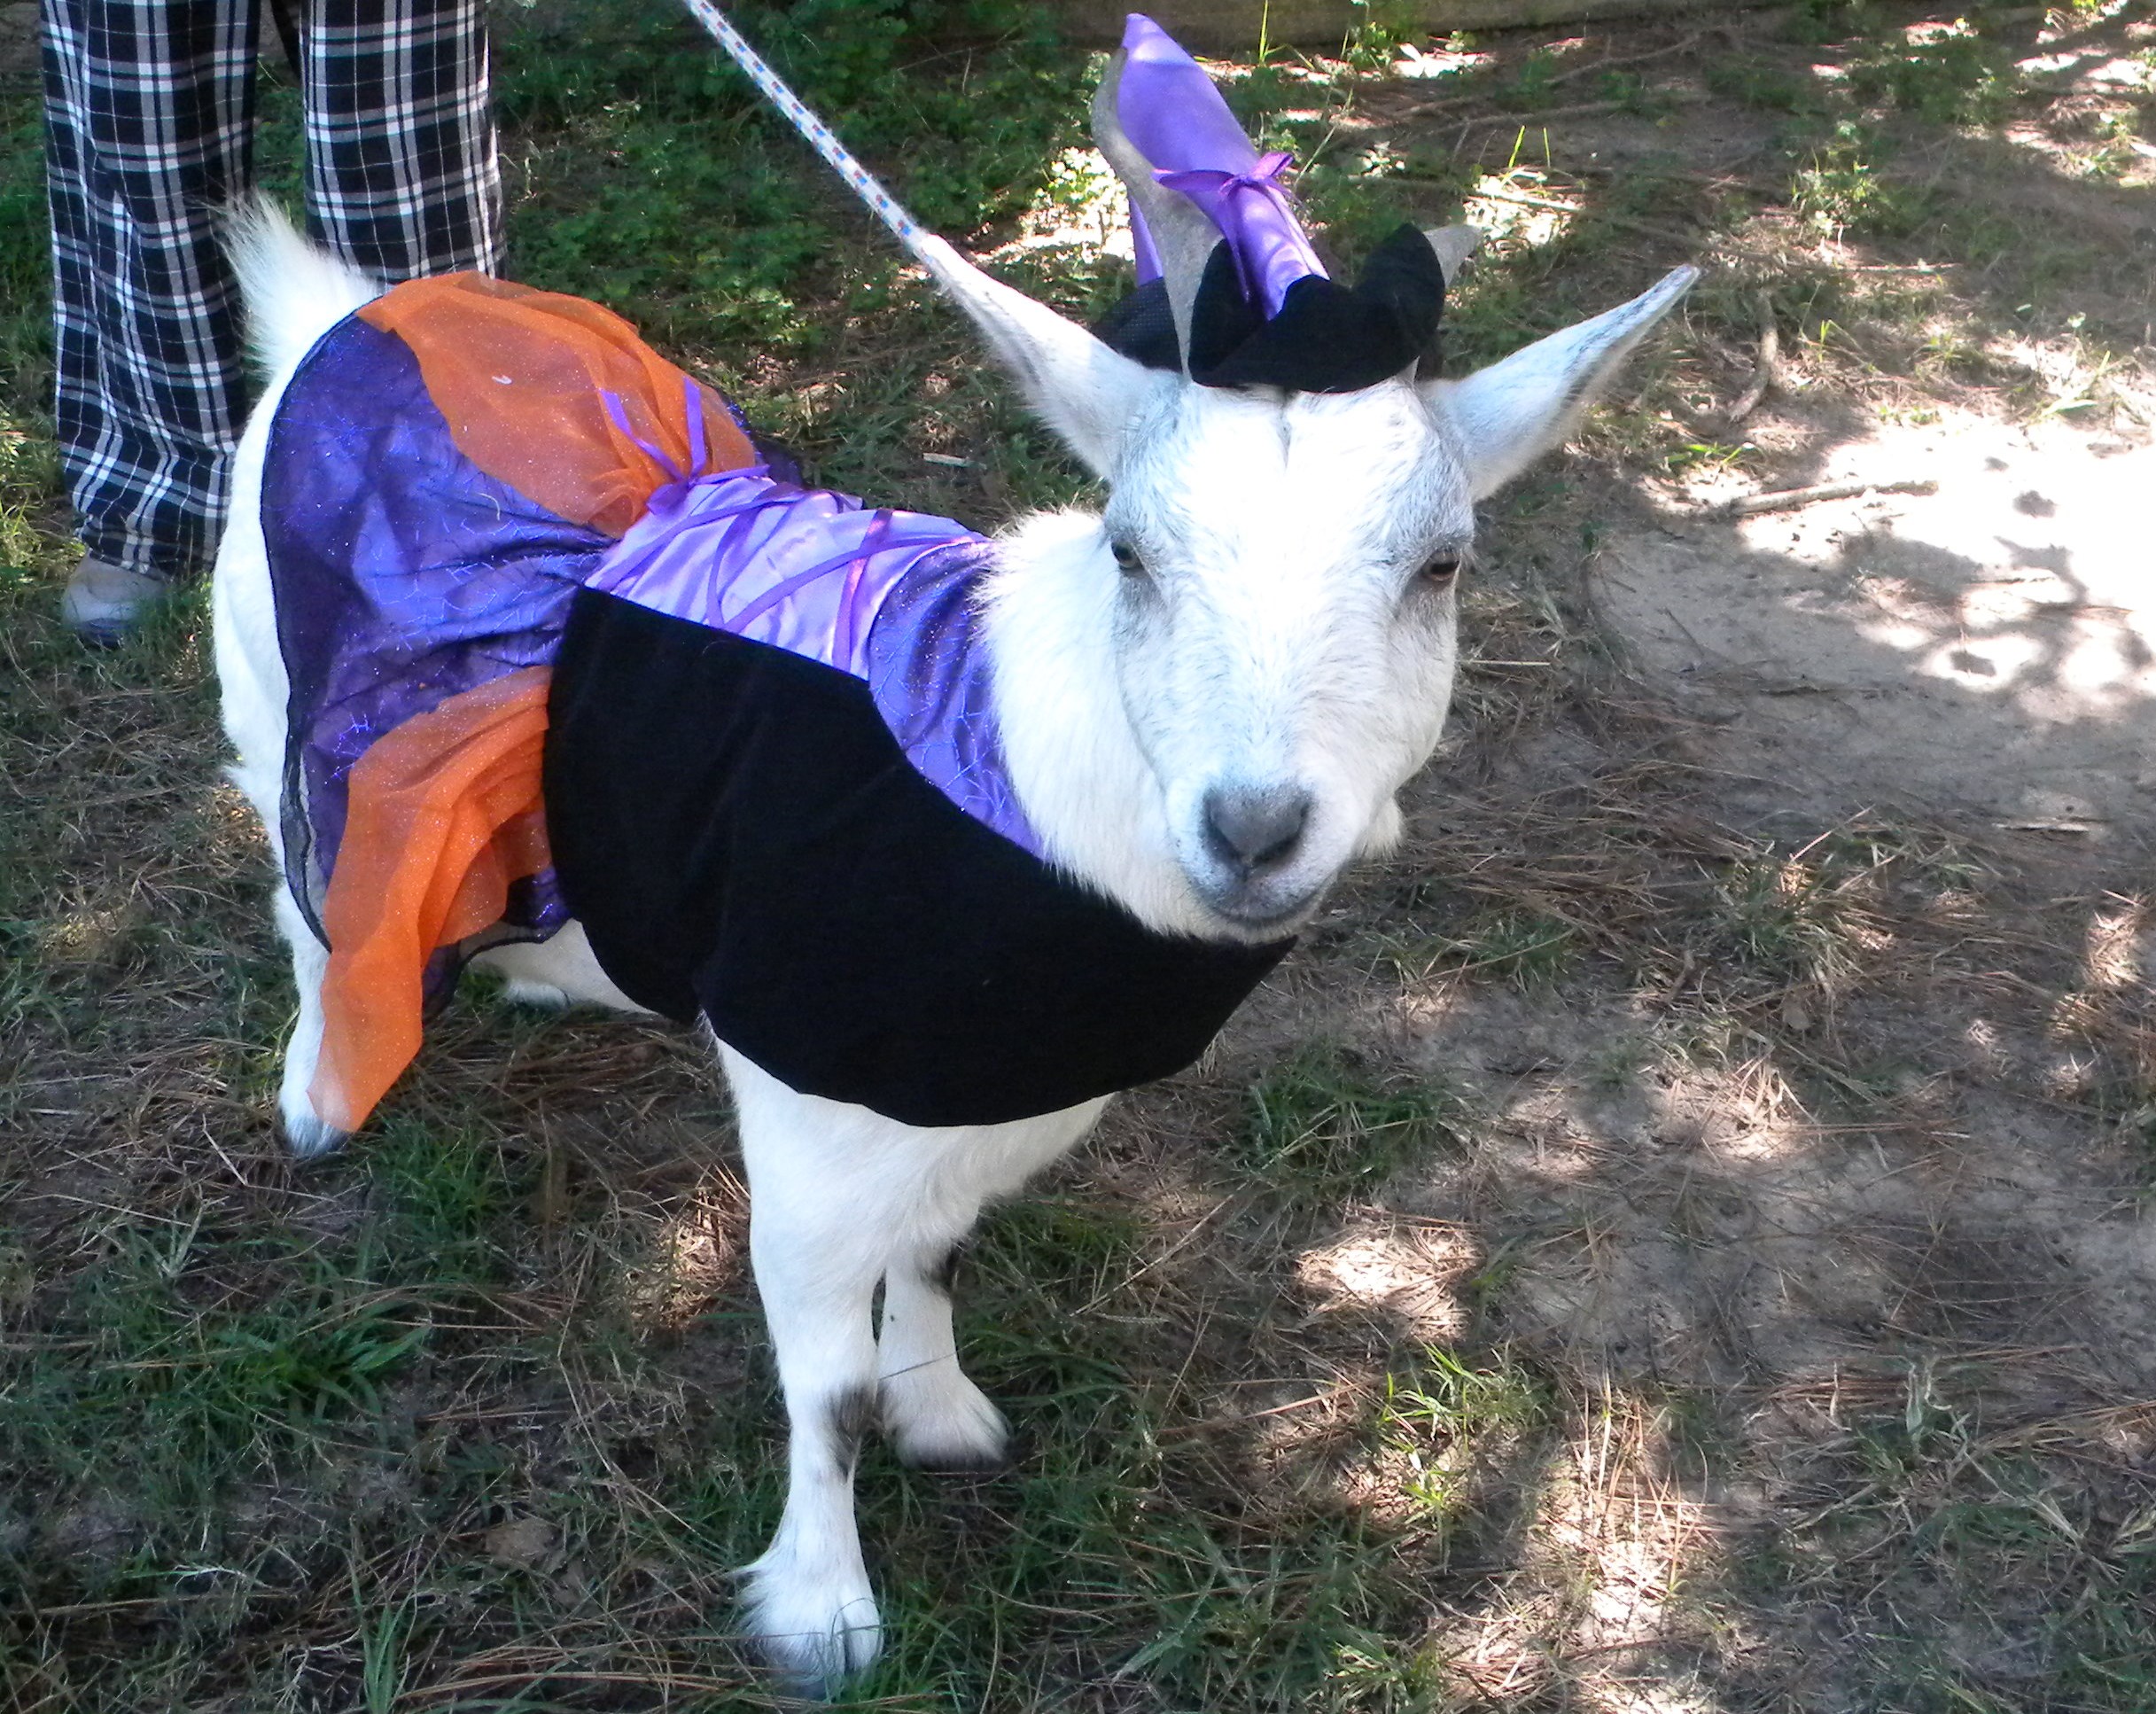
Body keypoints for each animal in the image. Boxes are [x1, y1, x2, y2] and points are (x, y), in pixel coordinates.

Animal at [212, 15, 1692, 1692]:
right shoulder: (803, 1112)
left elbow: (927, 1261)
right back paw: (318, 1090)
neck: (1024, 789)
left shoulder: (971, 1091)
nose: (1253, 827)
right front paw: (825, 1610)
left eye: (1440, 566)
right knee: (309, 899)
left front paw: (941, 1404)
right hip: (276, 694)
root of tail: (351, 317)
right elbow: (824, 1389)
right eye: (1130, 552)